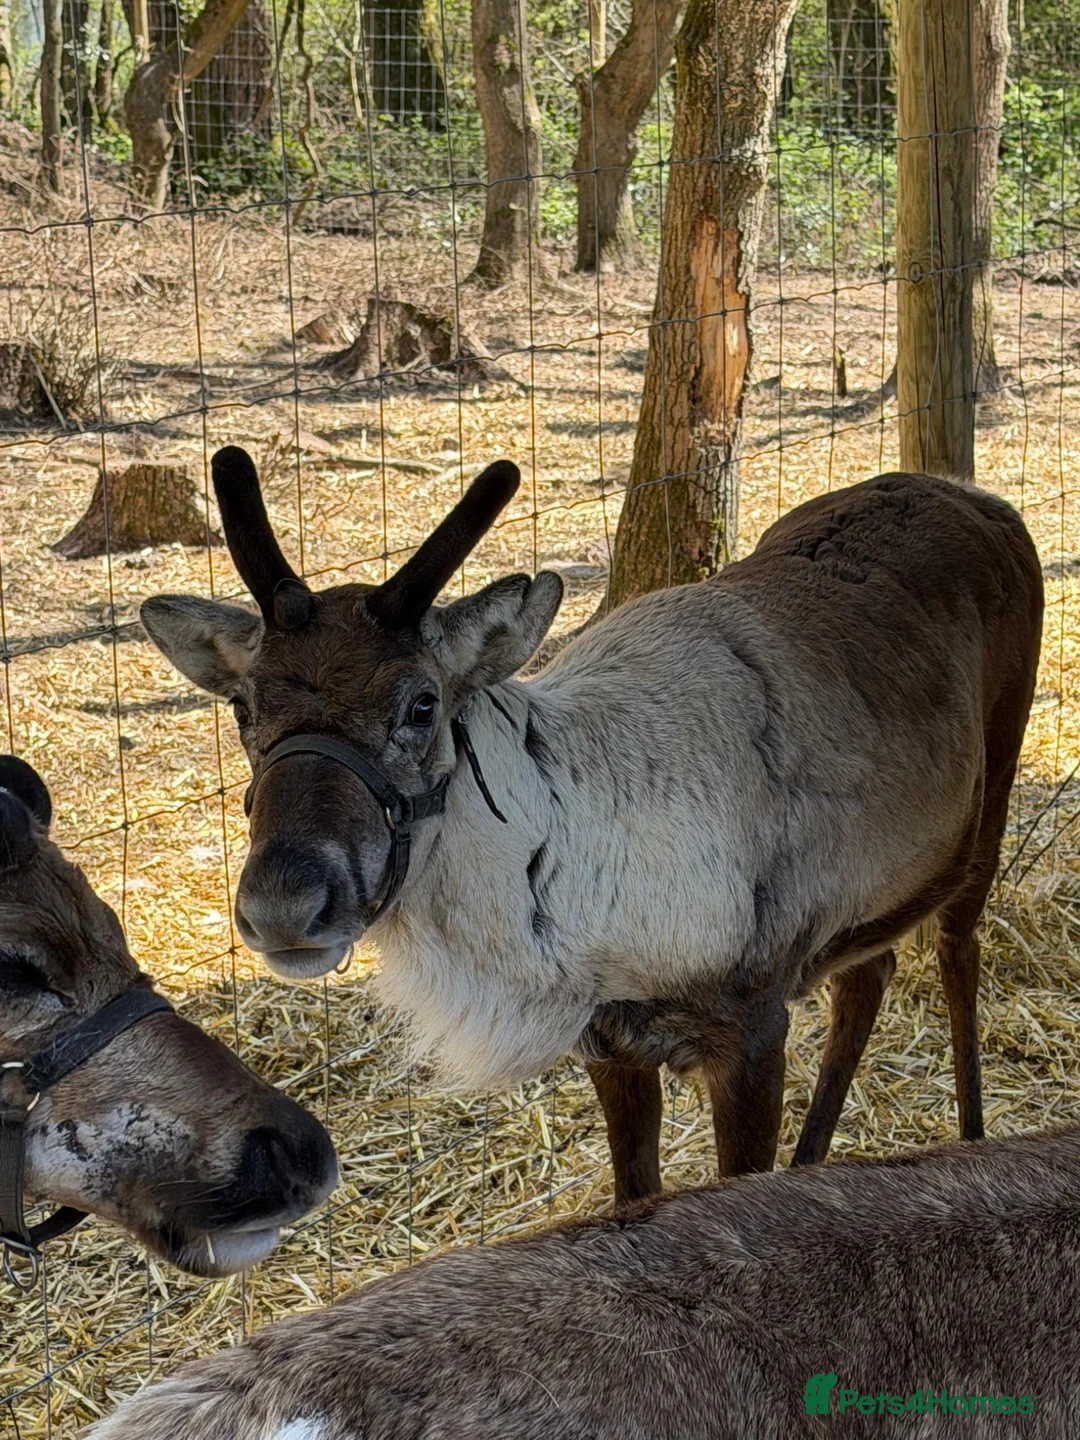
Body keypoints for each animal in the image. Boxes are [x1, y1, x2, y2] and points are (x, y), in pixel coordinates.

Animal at [141, 448, 1044, 1210]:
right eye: (242, 706)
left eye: (422, 704)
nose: (283, 905)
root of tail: (981, 498)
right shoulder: (609, 1041)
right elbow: (632, 1199)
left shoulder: (751, 1024)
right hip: (877, 886)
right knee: (871, 971)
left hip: (990, 793)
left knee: (956, 950)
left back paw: (974, 1136)